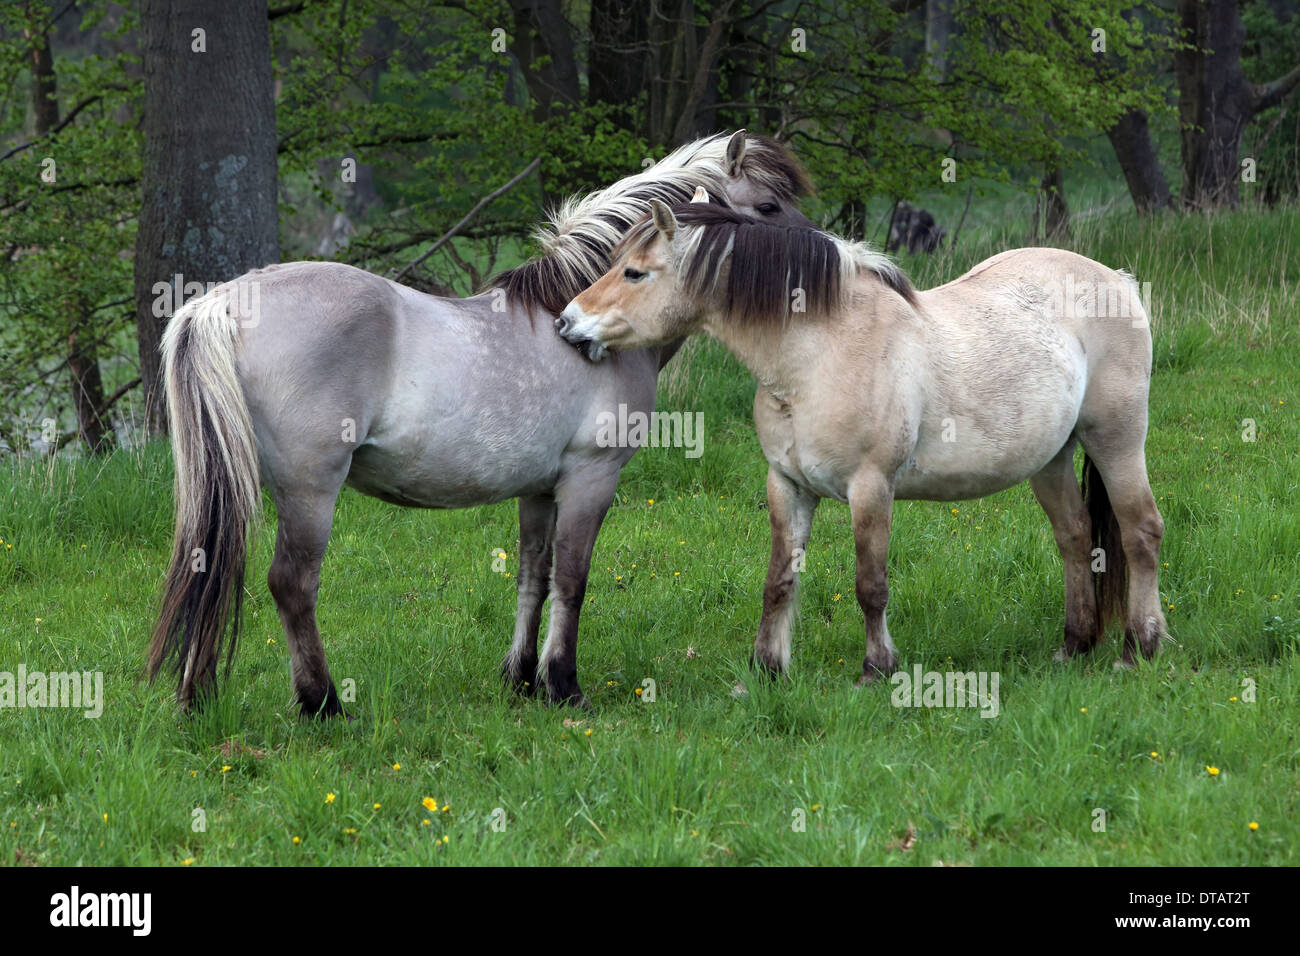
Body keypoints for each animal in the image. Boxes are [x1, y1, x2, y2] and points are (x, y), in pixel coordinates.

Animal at [556, 197, 1170, 686]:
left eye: (635, 273)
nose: (567, 323)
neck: (818, 353)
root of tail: (1117, 281)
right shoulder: (787, 486)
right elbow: (778, 581)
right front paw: (765, 671)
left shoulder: (870, 488)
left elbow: (870, 584)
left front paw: (877, 669)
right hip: (1052, 458)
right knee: (1075, 536)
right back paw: (1074, 646)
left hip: (1116, 439)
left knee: (1141, 531)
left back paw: (1139, 648)